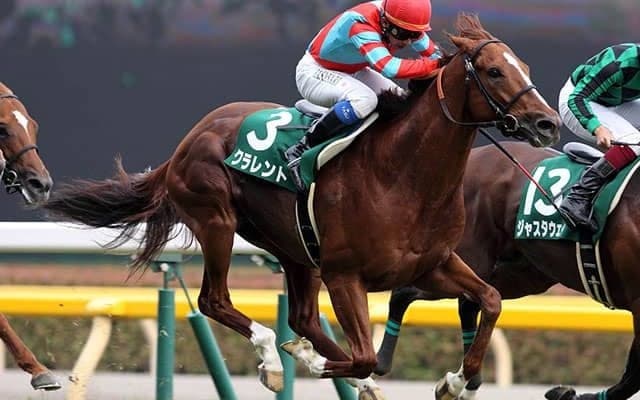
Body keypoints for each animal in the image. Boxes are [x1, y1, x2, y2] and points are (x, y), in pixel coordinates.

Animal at [42, 14, 559, 399]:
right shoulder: (345, 274)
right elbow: (365, 354)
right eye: (494, 71)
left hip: (294, 248)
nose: (548, 123)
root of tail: (192, 136)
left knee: (303, 318)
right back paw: (275, 357)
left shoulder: (433, 264)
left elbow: (489, 300)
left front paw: (455, 380)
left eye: (524, 65)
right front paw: (312, 359)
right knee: (216, 300)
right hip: (217, 219)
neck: (404, 175)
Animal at [375, 141, 640, 400]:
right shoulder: (637, 301)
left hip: (524, 273)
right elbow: (632, 378)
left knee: (471, 300)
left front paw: (568, 394)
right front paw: (568, 394)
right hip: (470, 258)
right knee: (411, 291)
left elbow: (631, 378)